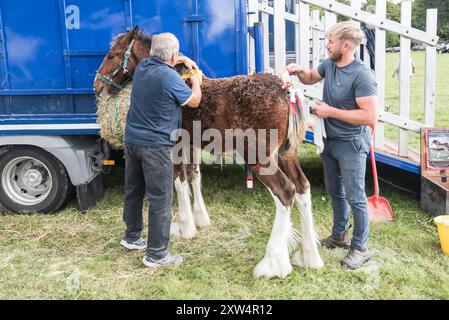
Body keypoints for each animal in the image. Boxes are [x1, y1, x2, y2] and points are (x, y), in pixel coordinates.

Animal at [94, 26, 322, 278]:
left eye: (112, 55)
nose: (97, 85)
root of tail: (285, 91)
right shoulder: (191, 144)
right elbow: (194, 176)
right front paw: (200, 218)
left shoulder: (175, 145)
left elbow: (179, 181)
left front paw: (186, 227)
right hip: (286, 154)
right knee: (302, 188)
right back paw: (309, 256)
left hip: (260, 158)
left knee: (285, 192)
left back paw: (272, 263)